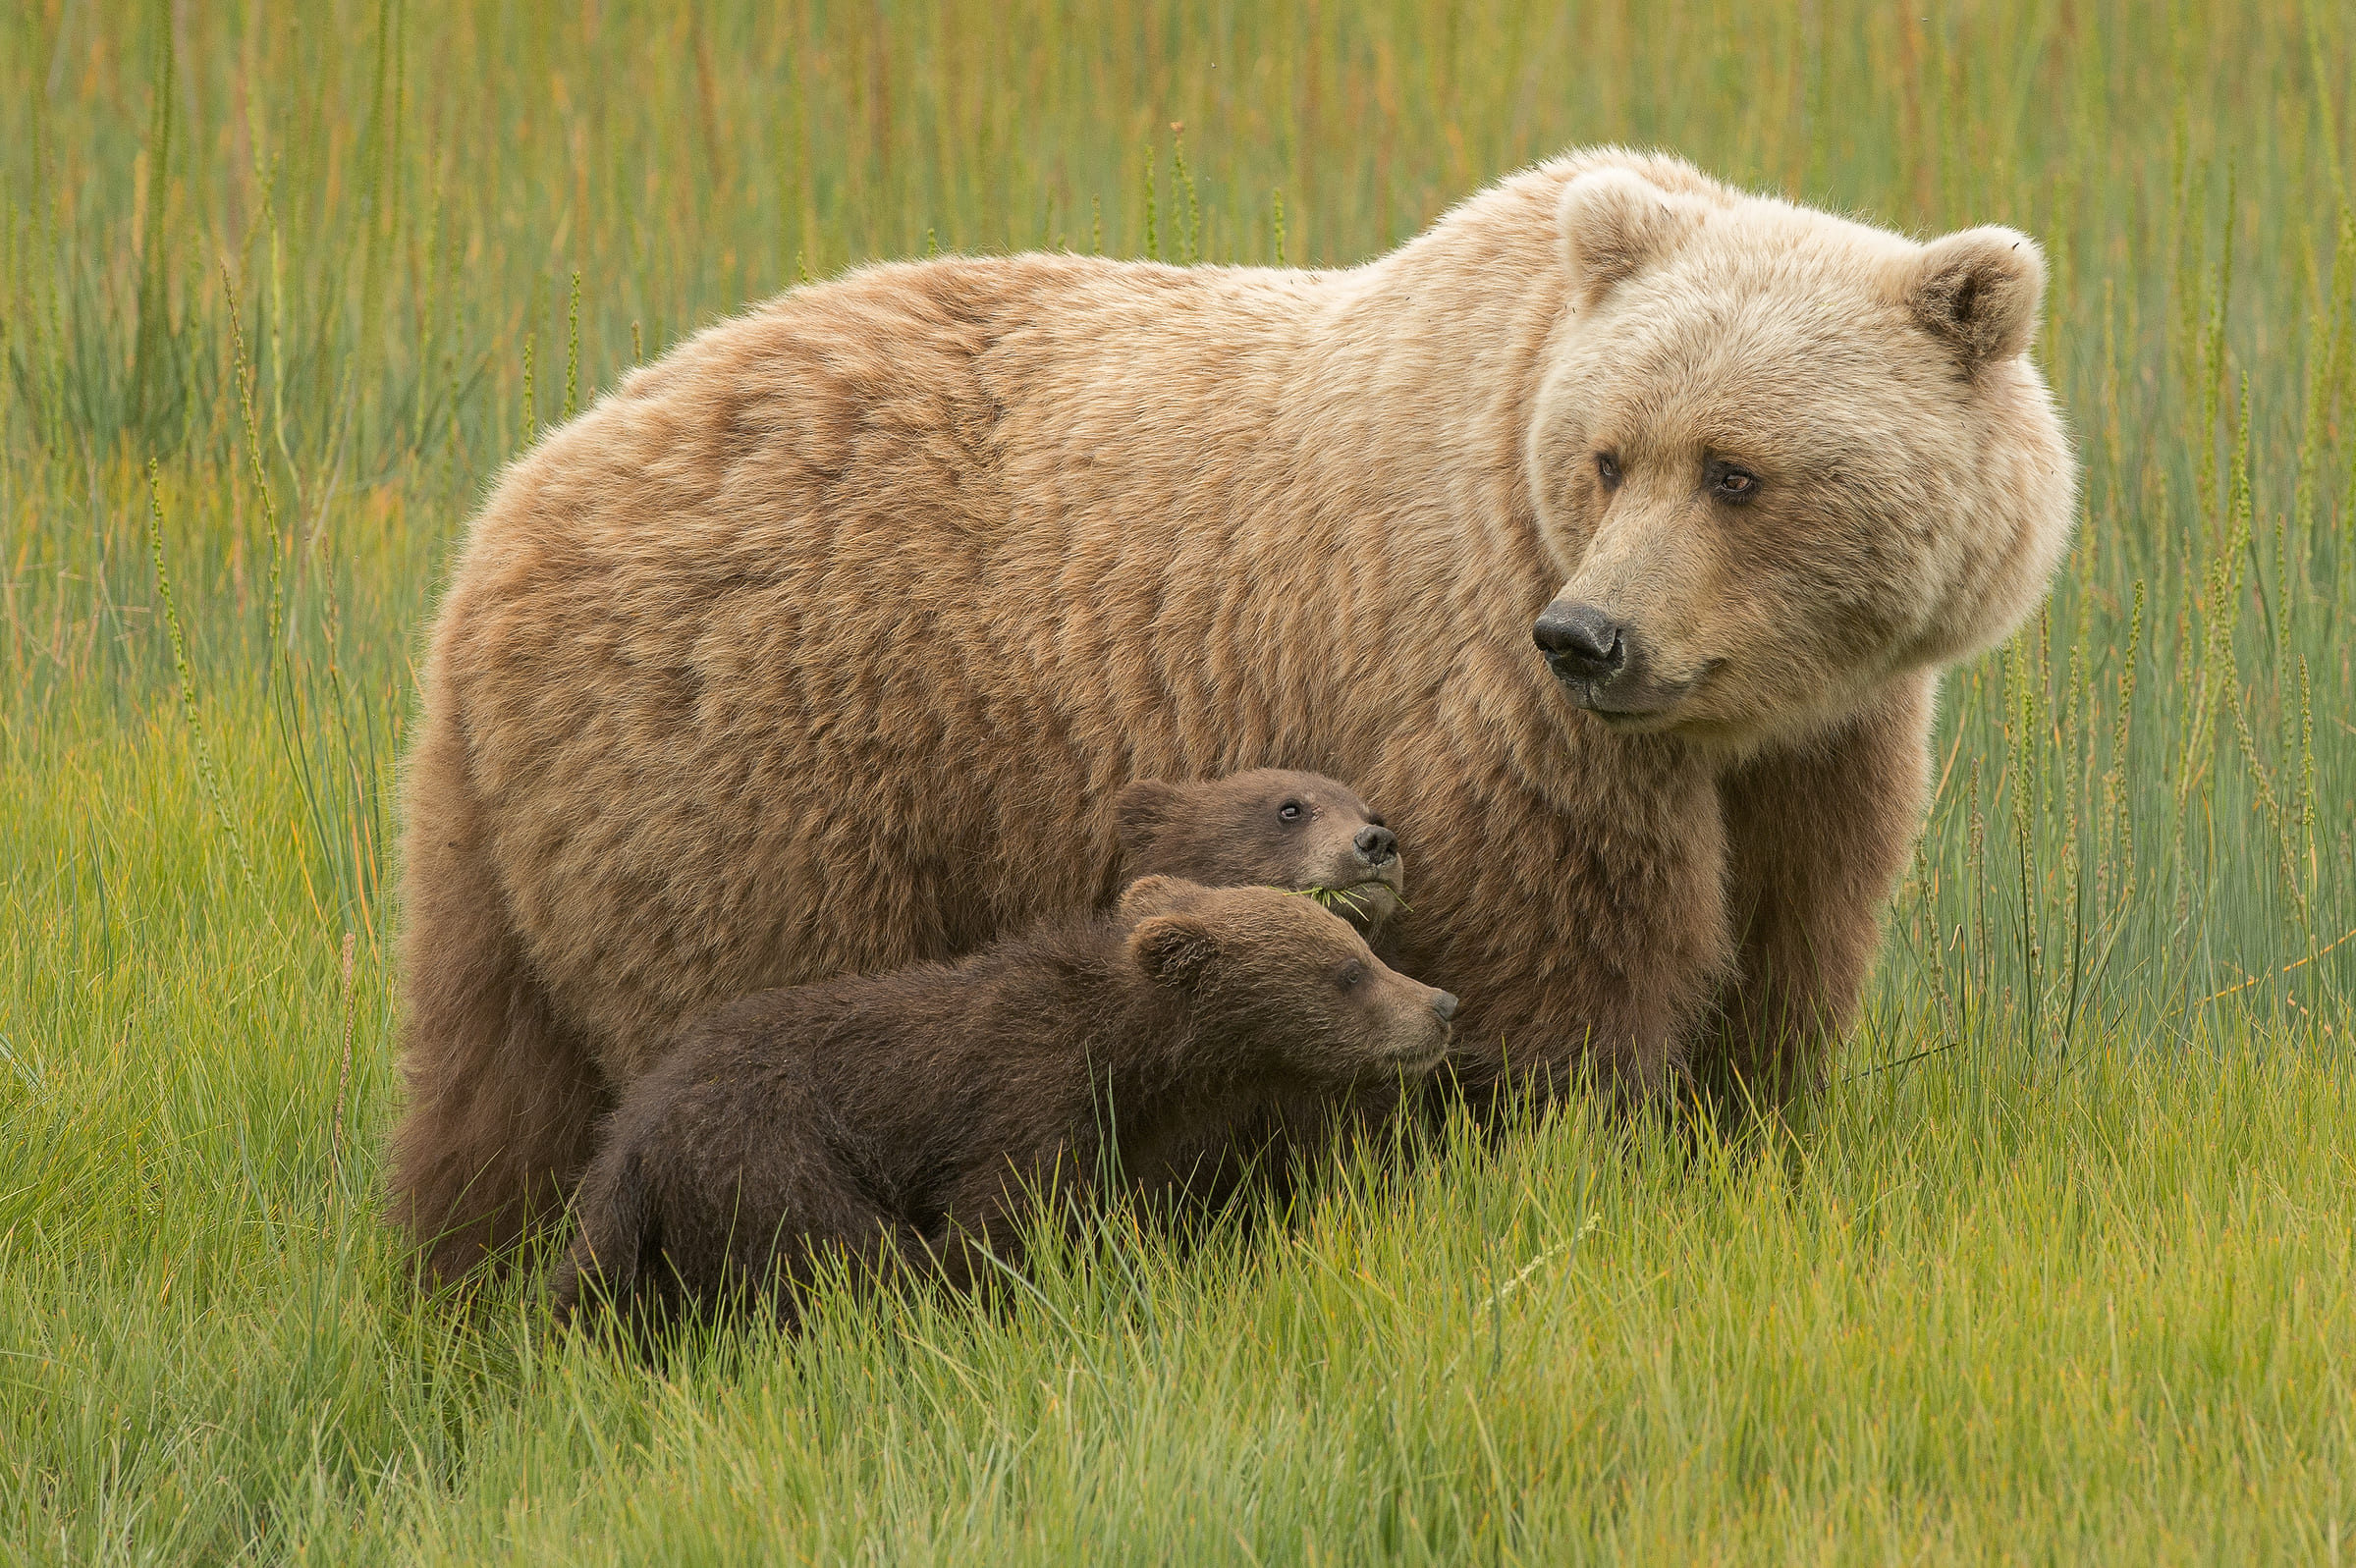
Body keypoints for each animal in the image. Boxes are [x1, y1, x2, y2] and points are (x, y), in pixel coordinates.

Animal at [396, 146, 2073, 1280]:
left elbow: (1785, 970)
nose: (1588, 638)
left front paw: (1742, 1148)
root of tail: (507, 510)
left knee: (490, 1099)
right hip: (767, 761)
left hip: (523, 832)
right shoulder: (1494, 703)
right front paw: (1572, 1178)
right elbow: (1563, 996)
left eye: (1736, 470)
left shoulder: (1820, 759)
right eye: (1608, 456)